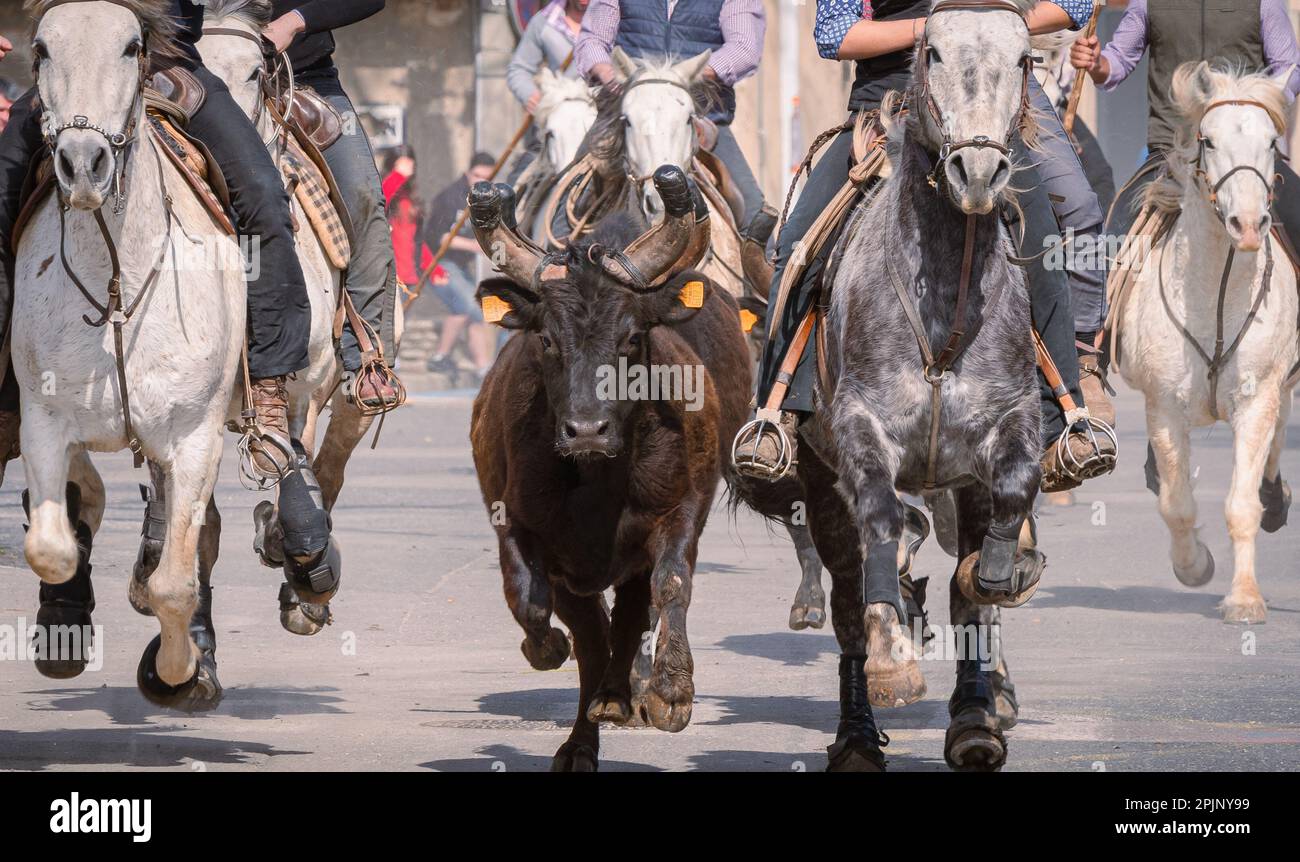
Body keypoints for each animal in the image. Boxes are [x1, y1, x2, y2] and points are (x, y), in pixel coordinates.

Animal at [15, 0, 240, 702]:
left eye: (130, 46)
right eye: (41, 48)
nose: (83, 165)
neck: (116, 279)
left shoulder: (196, 433)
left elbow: (175, 582)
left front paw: (177, 671)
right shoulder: (41, 417)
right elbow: (52, 548)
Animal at [1112, 62, 1294, 626]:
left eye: (1272, 143)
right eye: (1207, 140)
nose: (1249, 226)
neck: (1216, 292)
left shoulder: (1257, 399)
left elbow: (1242, 504)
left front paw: (1245, 599)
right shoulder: (1165, 407)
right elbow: (1177, 504)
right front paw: (1195, 568)